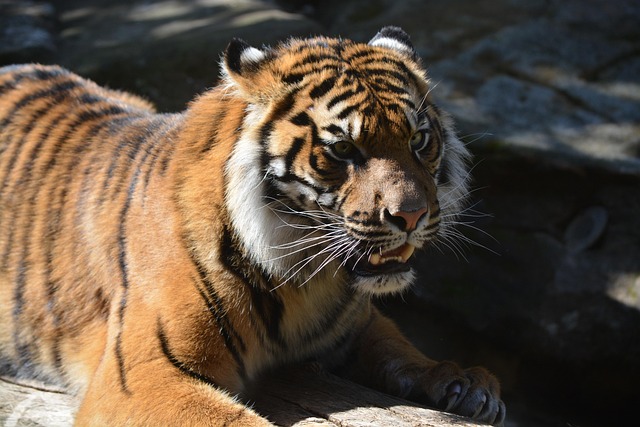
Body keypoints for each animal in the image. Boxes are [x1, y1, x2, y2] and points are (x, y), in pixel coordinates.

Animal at [0, 26, 505, 425]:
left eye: (419, 140)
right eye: (343, 149)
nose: (411, 216)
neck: (307, 281)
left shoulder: (357, 325)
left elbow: (400, 349)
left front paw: (465, 383)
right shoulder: (142, 377)